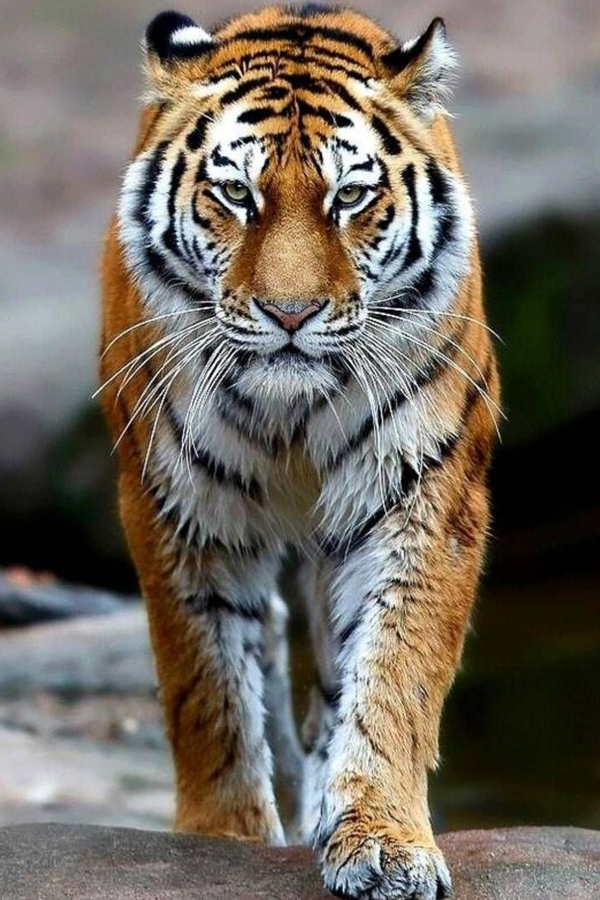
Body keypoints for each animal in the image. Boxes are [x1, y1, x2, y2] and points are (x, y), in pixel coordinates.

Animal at [99, 5, 500, 899]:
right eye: (235, 195)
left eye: (349, 197)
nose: (289, 314)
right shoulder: (178, 505)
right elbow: (206, 687)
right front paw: (224, 839)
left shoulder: (422, 493)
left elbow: (393, 672)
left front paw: (382, 841)